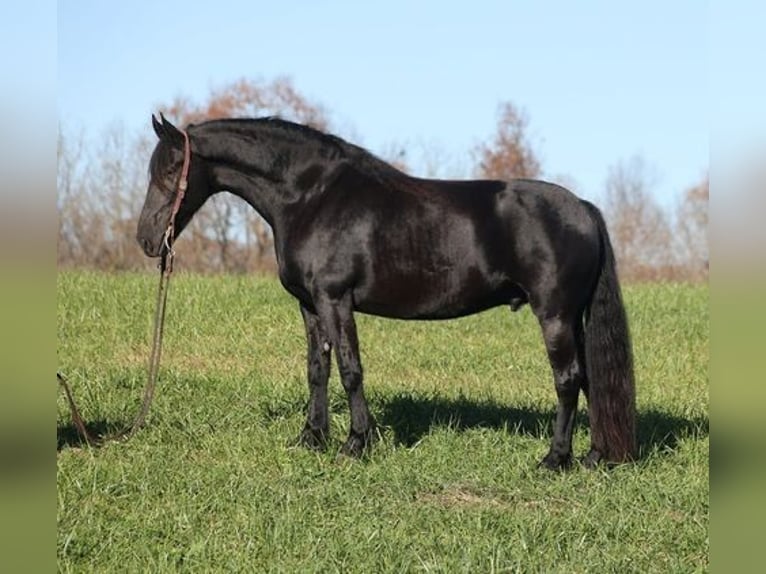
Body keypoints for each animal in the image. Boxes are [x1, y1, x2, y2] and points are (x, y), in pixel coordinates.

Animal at [137, 113, 636, 470]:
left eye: (171, 169)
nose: (146, 240)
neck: (311, 196)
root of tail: (584, 208)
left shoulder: (335, 300)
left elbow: (350, 370)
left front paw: (356, 444)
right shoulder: (310, 306)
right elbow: (317, 371)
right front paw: (311, 439)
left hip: (554, 315)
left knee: (567, 379)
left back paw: (554, 459)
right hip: (572, 319)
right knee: (589, 379)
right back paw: (593, 456)